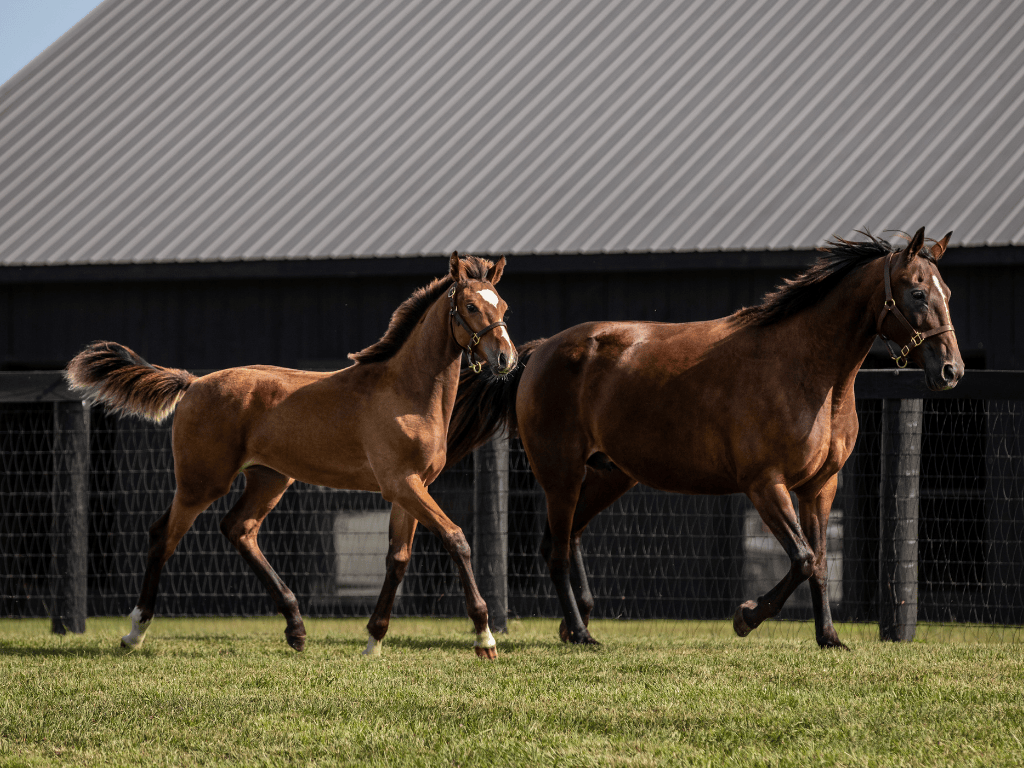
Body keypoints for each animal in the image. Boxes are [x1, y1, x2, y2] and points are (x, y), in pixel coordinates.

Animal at [65, 253, 516, 663]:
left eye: (504, 307)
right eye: (471, 306)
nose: (506, 359)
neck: (406, 392)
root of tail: (194, 383)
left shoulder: (411, 487)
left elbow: (398, 559)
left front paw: (374, 641)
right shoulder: (401, 484)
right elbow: (456, 538)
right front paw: (485, 638)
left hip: (269, 478)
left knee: (239, 529)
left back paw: (296, 629)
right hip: (201, 482)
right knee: (164, 537)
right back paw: (135, 632)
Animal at [446, 228, 958, 651]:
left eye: (946, 292)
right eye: (917, 292)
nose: (952, 370)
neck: (806, 369)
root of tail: (537, 353)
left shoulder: (820, 487)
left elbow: (820, 563)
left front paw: (829, 638)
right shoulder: (765, 485)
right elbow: (802, 558)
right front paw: (746, 616)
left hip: (607, 477)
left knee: (566, 539)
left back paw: (577, 625)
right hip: (562, 476)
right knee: (555, 551)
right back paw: (580, 632)